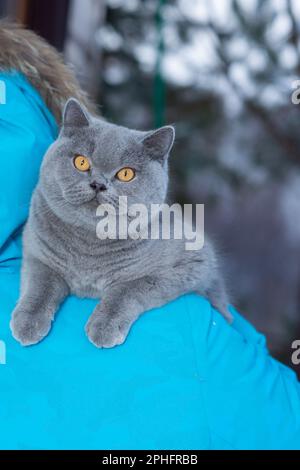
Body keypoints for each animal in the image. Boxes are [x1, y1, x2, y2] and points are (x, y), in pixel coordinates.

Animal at [10, 99, 232, 348]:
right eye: (81, 162)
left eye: (126, 174)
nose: (98, 184)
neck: (89, 243)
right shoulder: (37, 253)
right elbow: (41, 284)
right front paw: (28, 322)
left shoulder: (191, 265)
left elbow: (128, 288)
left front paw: (104, 327)